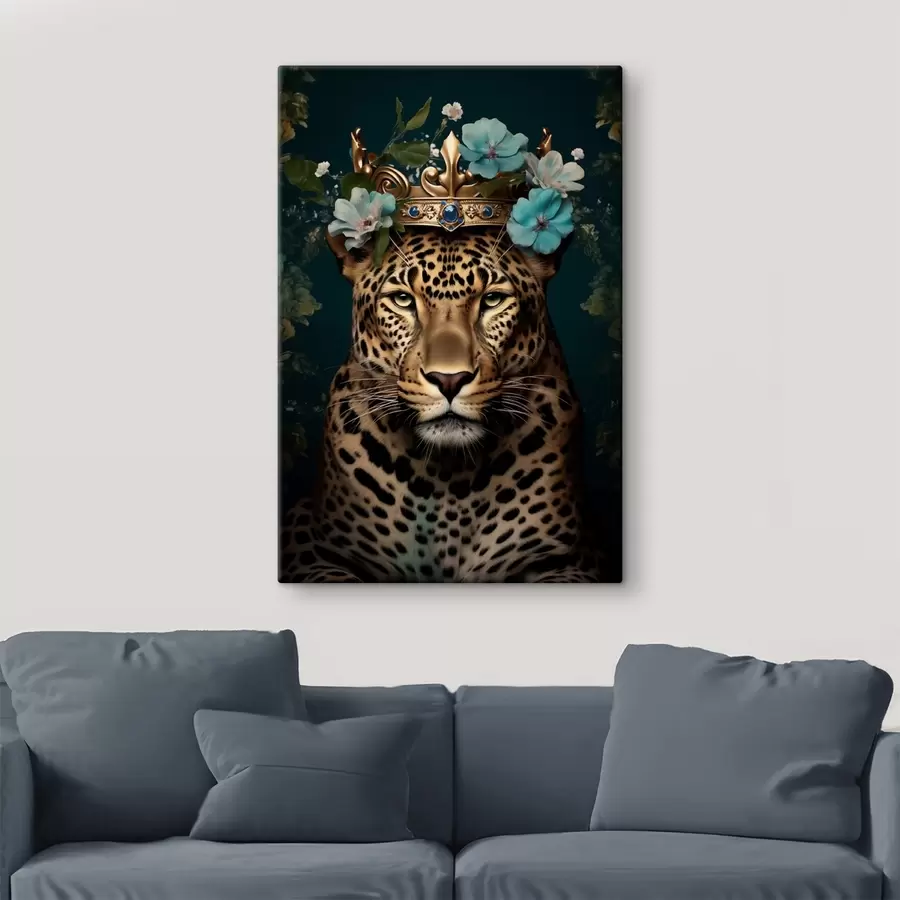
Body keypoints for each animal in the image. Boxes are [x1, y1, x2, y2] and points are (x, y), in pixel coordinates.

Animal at [279, 226, 604, 583]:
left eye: (492, 299)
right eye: (403, 300)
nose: (449, 380)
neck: (449, 478)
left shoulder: (569, 559)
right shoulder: (311, 544)